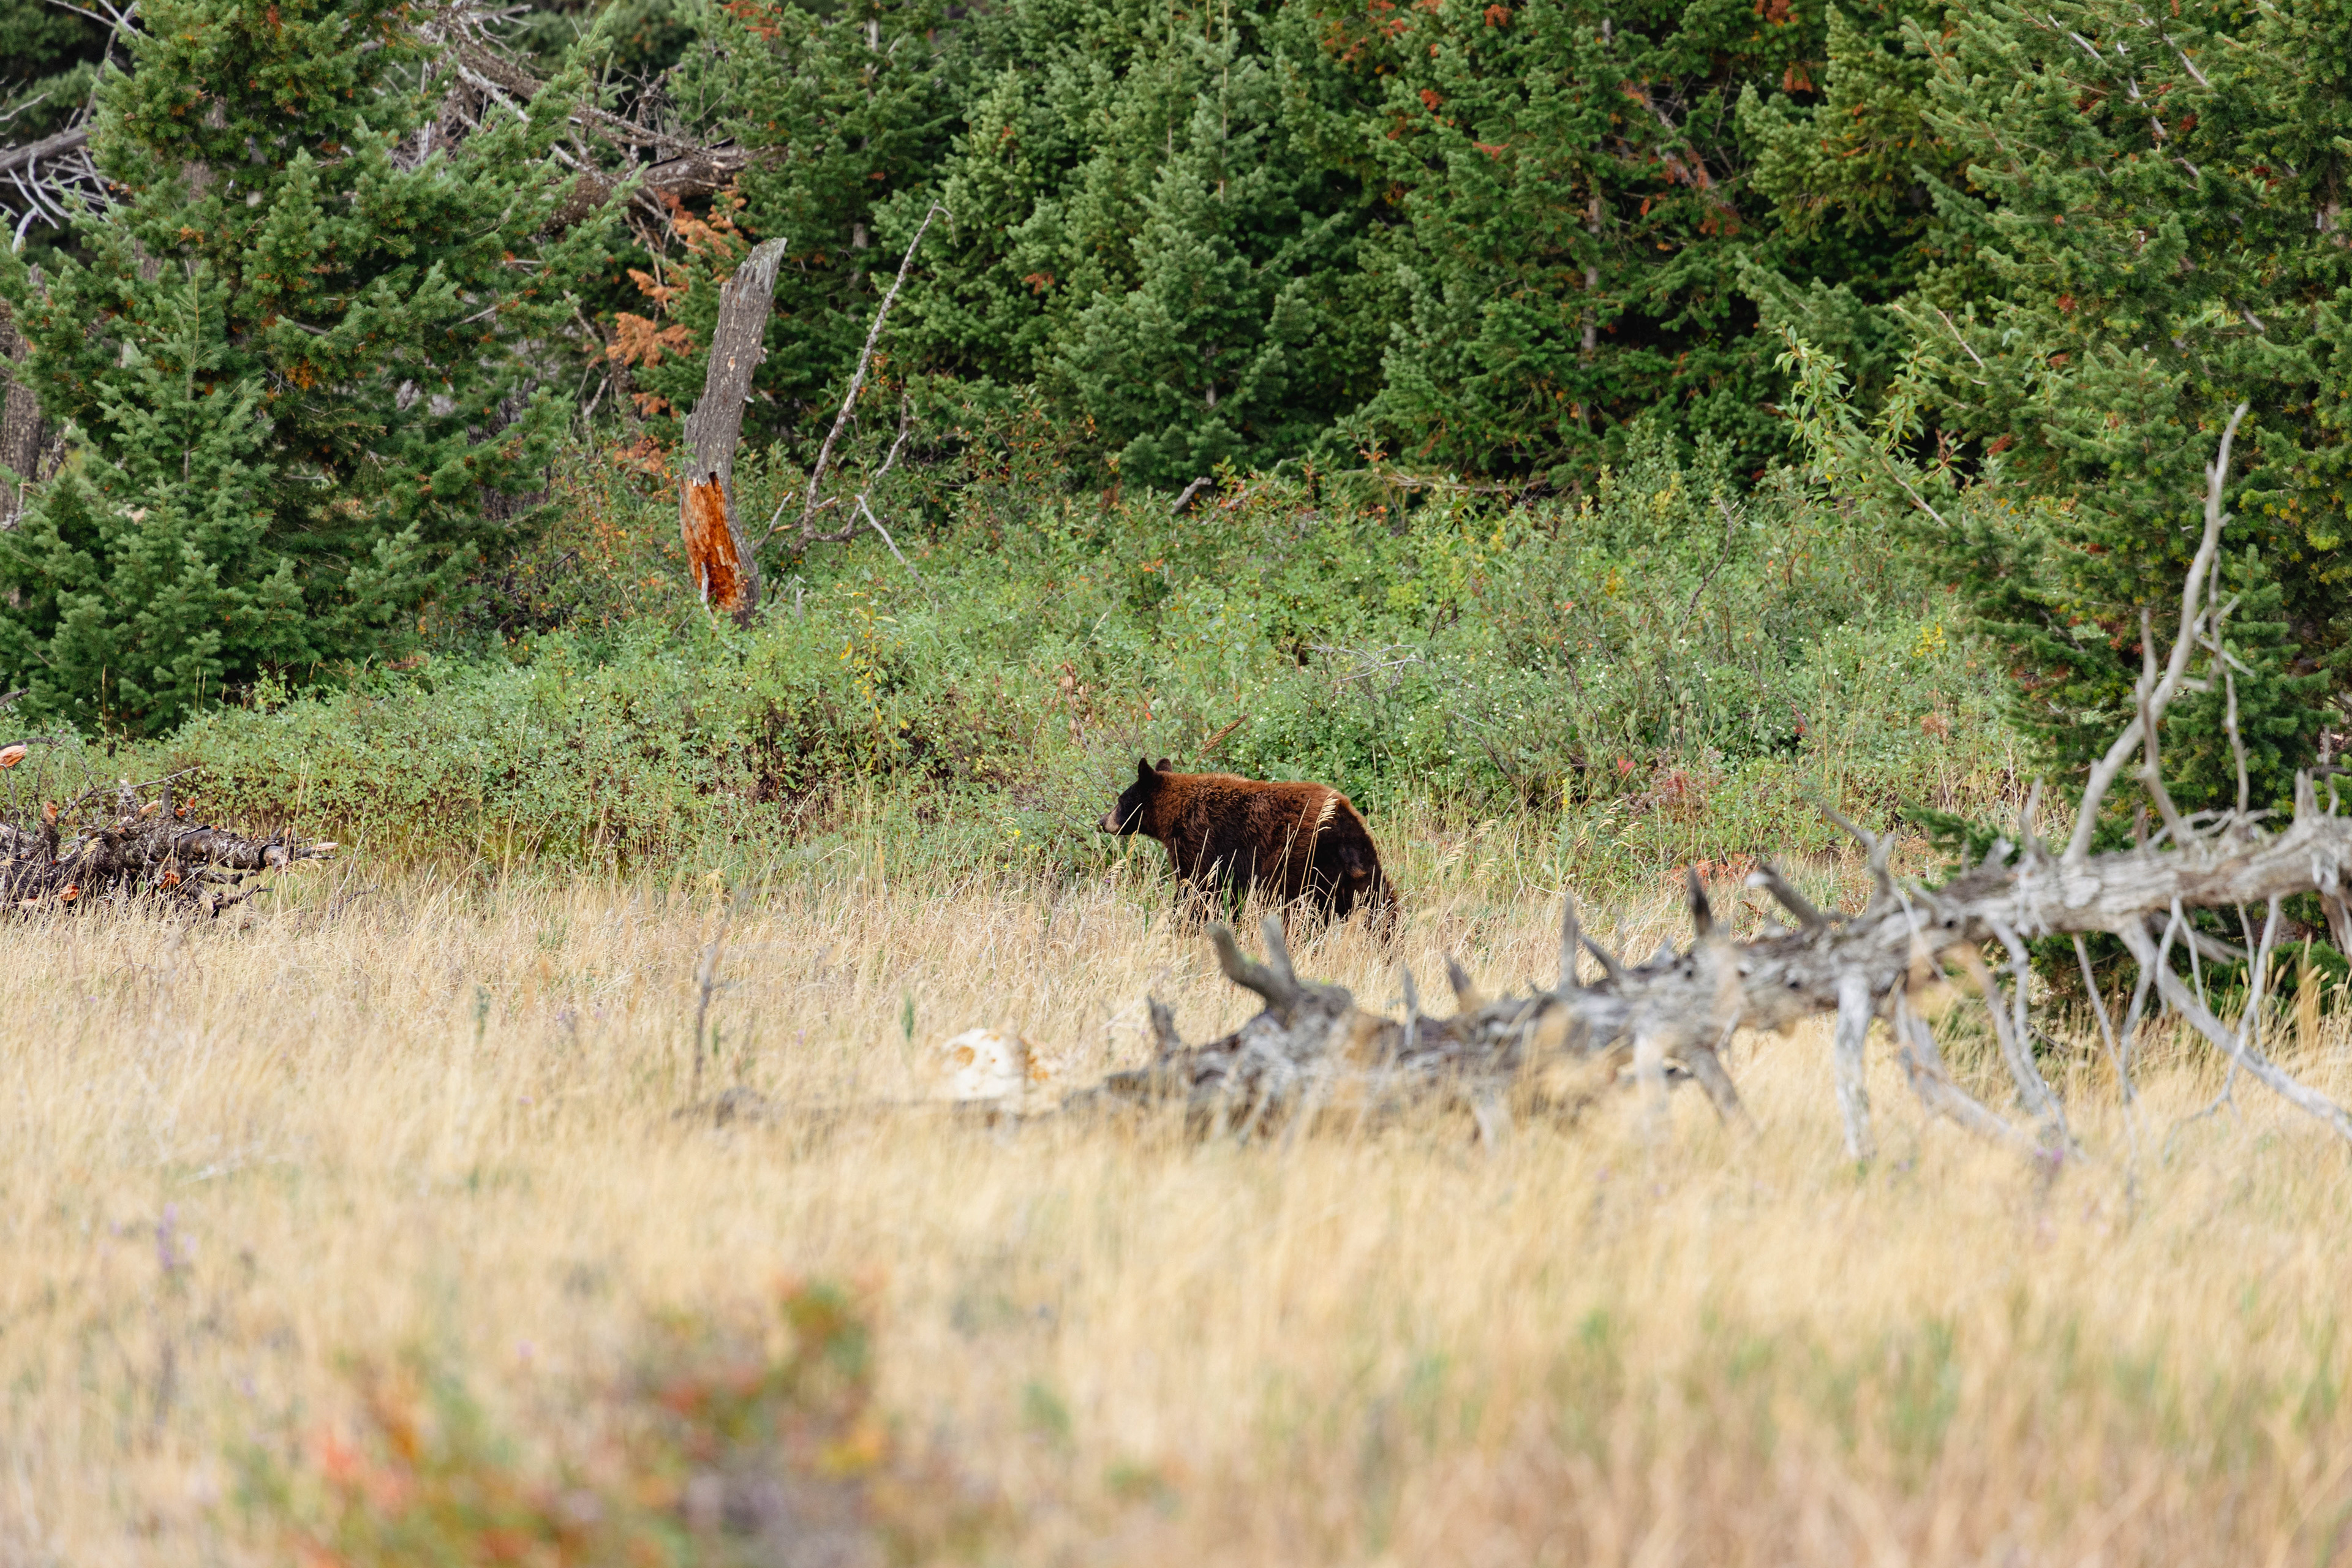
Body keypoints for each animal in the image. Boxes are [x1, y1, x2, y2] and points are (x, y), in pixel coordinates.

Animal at [1097, 757, 1397, 929]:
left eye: (1120, 800)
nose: (1102, 821)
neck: (1175, 813)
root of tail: (1341, 820)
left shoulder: (1201, 842)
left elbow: (1197, 890)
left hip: (1295, 859)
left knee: (1295, 908)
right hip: (1361, 864)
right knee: (1382, 906)